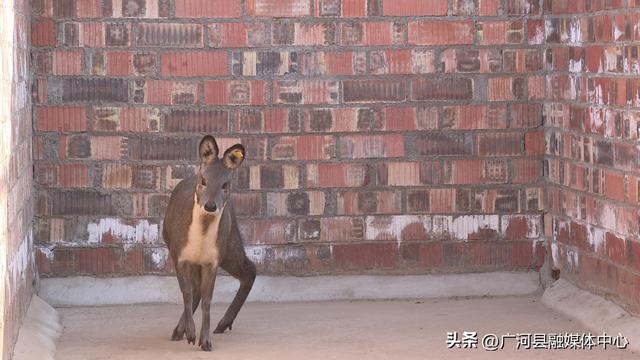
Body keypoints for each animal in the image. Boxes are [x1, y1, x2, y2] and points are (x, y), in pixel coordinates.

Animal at [161, 134, 256, 350]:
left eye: (225, 184)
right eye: (204, 180)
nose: (210, 205)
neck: (199, 243)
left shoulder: (213, 260)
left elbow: (207, 300)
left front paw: (204, 341)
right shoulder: (179, 255)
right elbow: (186, 293)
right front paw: (190, 334)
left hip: (230, 242)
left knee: (250, 269)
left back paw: (221, 324)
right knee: (196, 289)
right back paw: (180, 331)